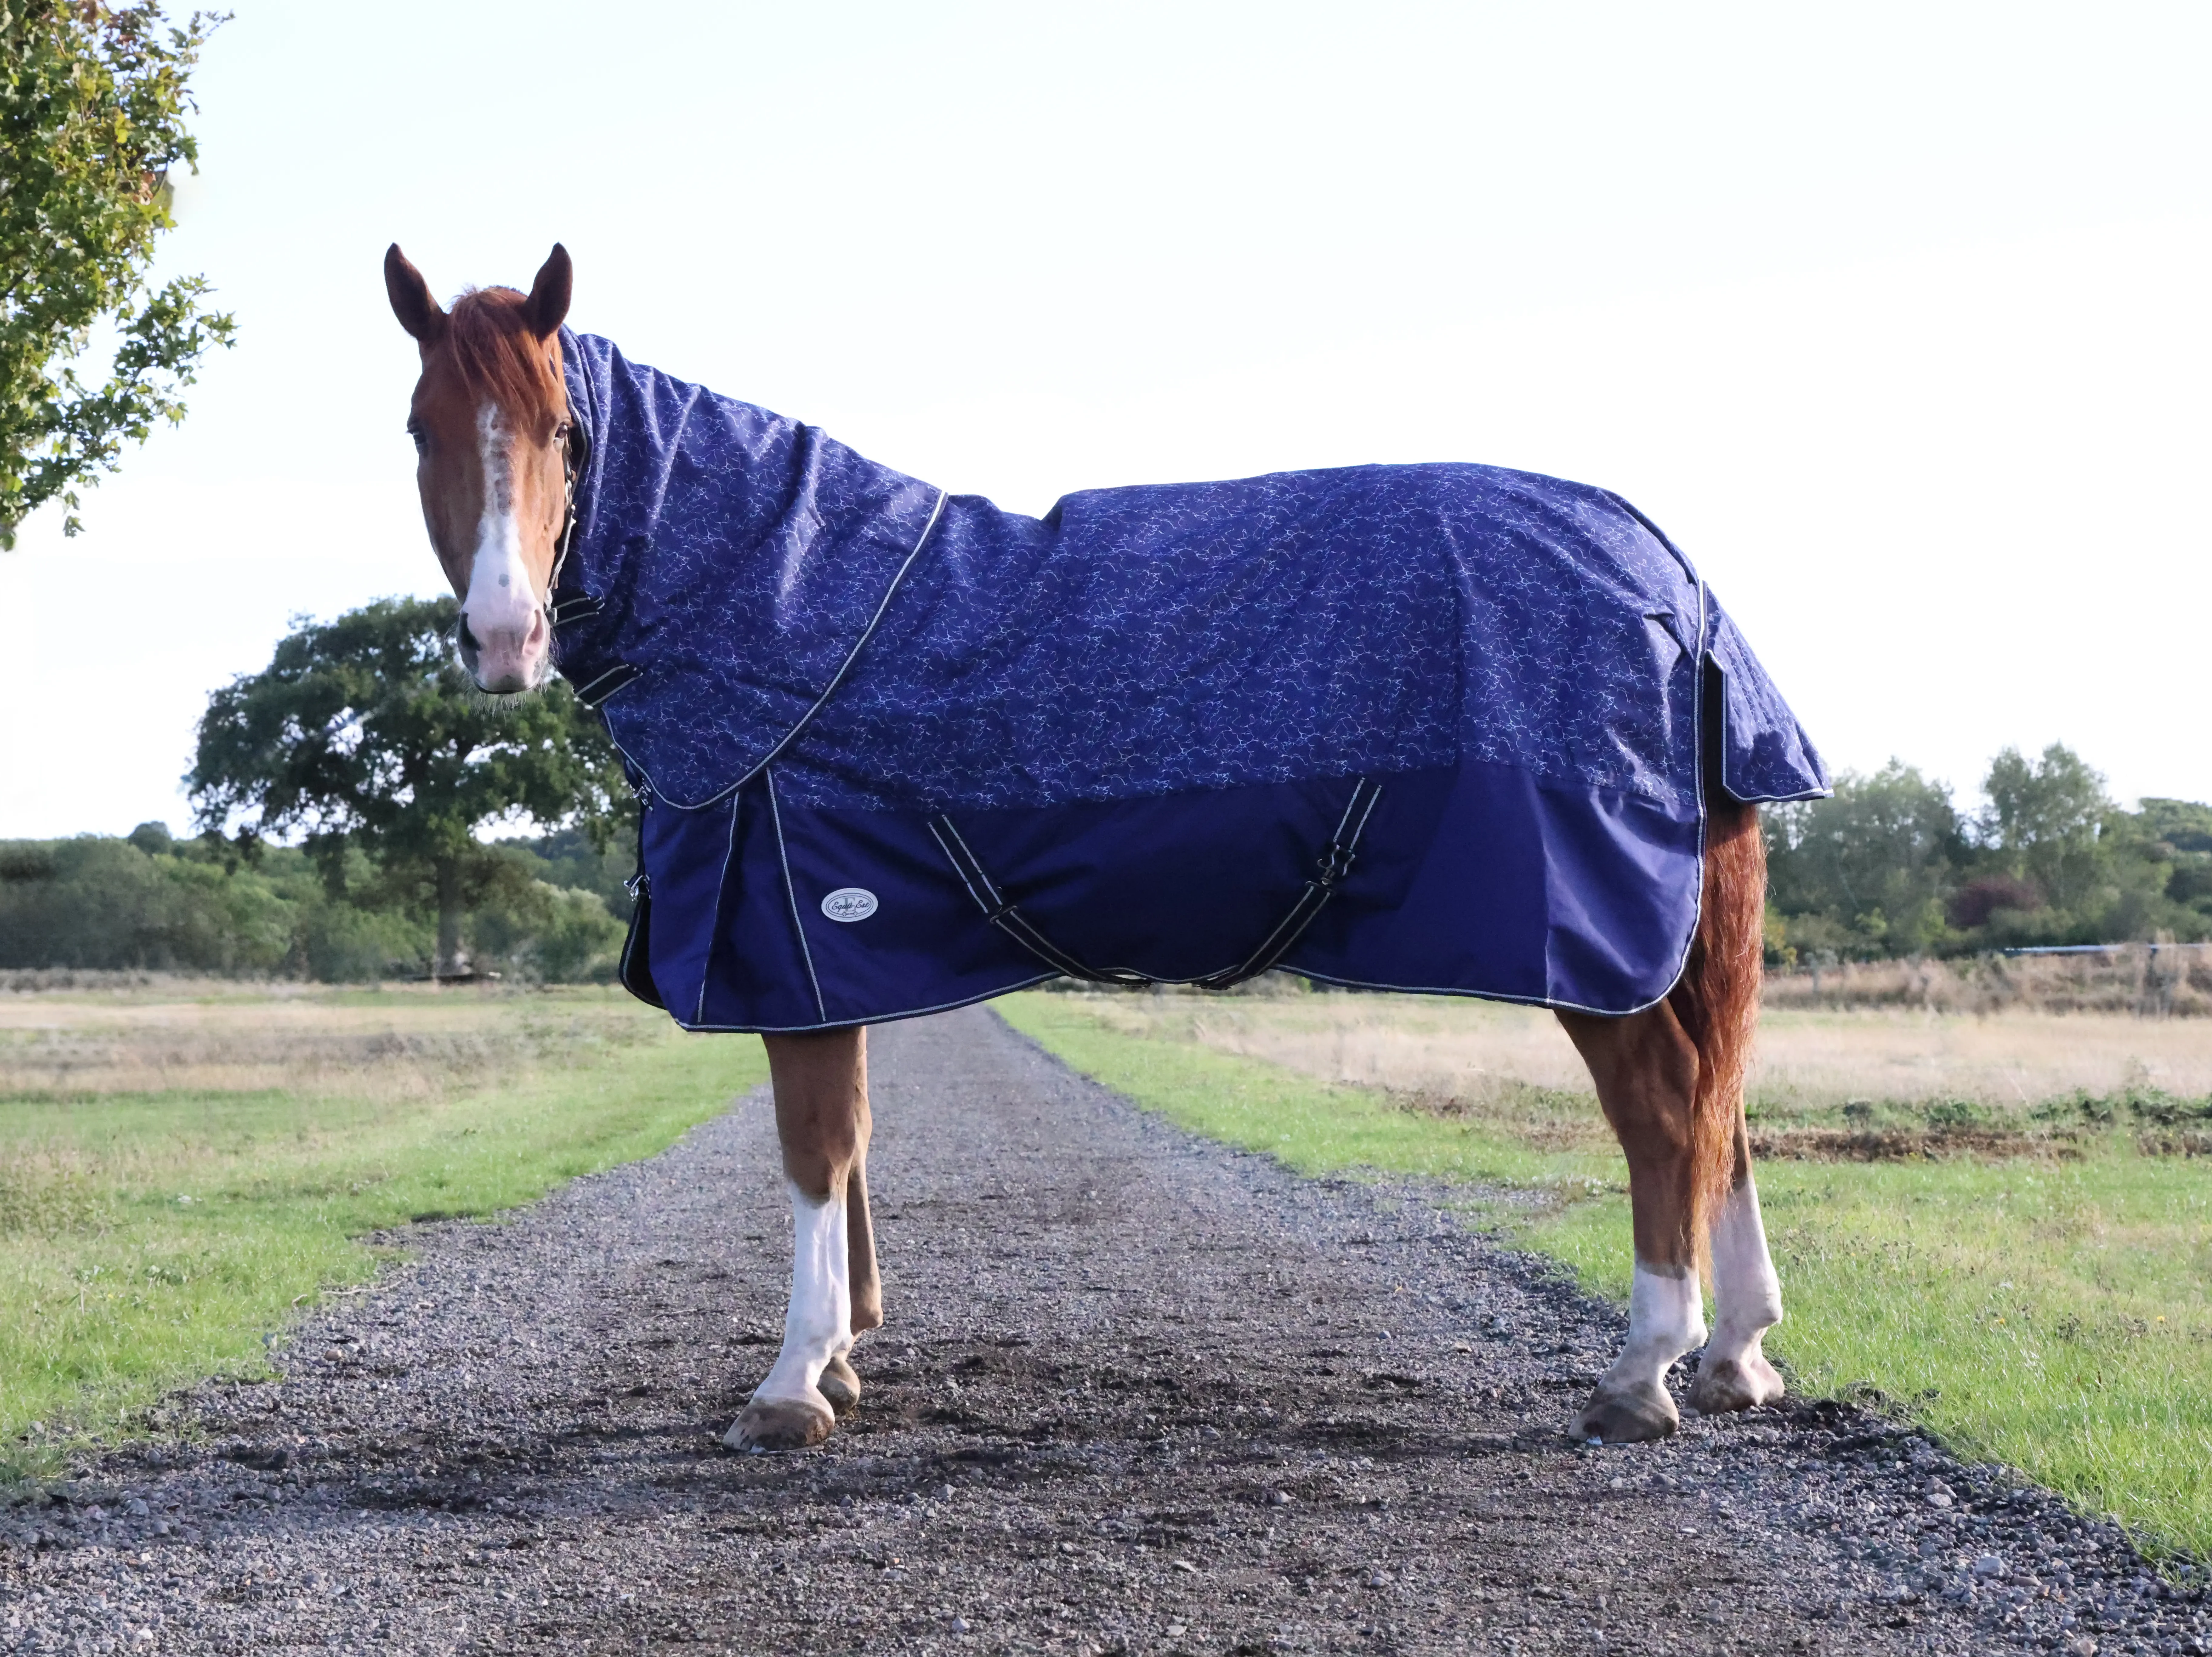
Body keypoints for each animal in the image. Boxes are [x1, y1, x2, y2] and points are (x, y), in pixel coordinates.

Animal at [384, 240, 1823, 1453]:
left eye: (566, 432)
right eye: (419, 428)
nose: (504, 640)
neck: (775, 610)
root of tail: (1668, 576)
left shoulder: (791, 935)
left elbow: (813, 1149)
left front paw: (792, 1383)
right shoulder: (828, 960)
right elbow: (851, 1148)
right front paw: (843, 1350)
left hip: (1589, 939)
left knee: (1663, 1109)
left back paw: (1642, 1371)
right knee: (1721, 1103)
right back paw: (1734, 1355)